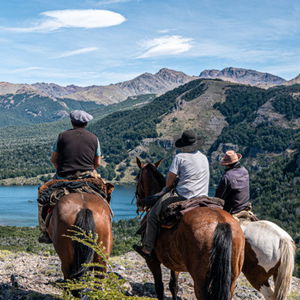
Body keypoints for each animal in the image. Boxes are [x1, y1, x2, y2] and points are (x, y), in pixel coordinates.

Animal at [135, 157, 245, 300]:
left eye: (137, 178)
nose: (139, 203)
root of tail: (220, 222)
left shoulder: (152, 261)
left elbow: (159, 287)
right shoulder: (174, 263)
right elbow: (173, 286)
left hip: (200, 281)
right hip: (231, 280)